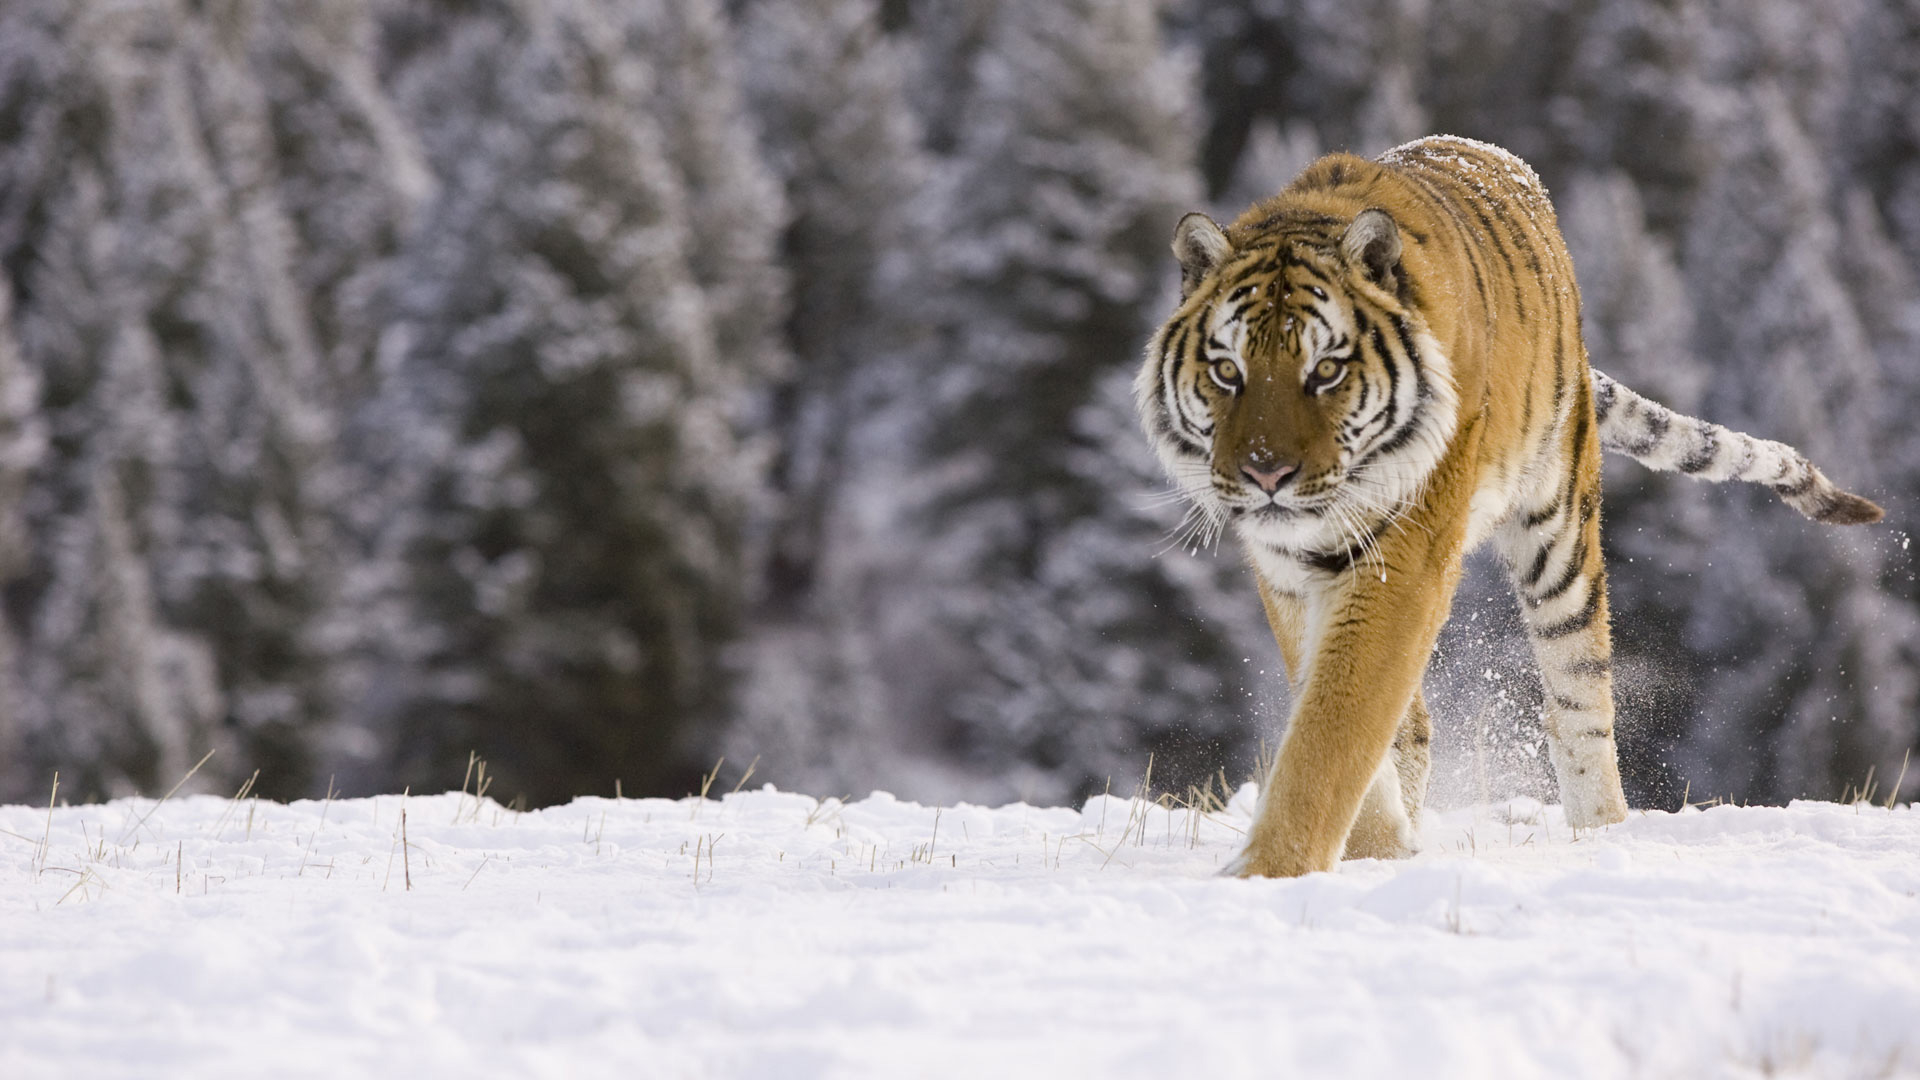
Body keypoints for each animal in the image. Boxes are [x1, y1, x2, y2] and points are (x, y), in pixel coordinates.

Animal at [1136, 134, 1883, 879]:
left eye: (1326, 370)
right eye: (1227, 370)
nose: (1266, 473)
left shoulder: (1403, 559)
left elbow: (1334, 727)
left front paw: (1270, 873)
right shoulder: (1290, 575)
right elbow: (1341, 718)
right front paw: (1378, 851)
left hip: (1559, 538)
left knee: (1580, 703)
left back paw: (1601, 835)